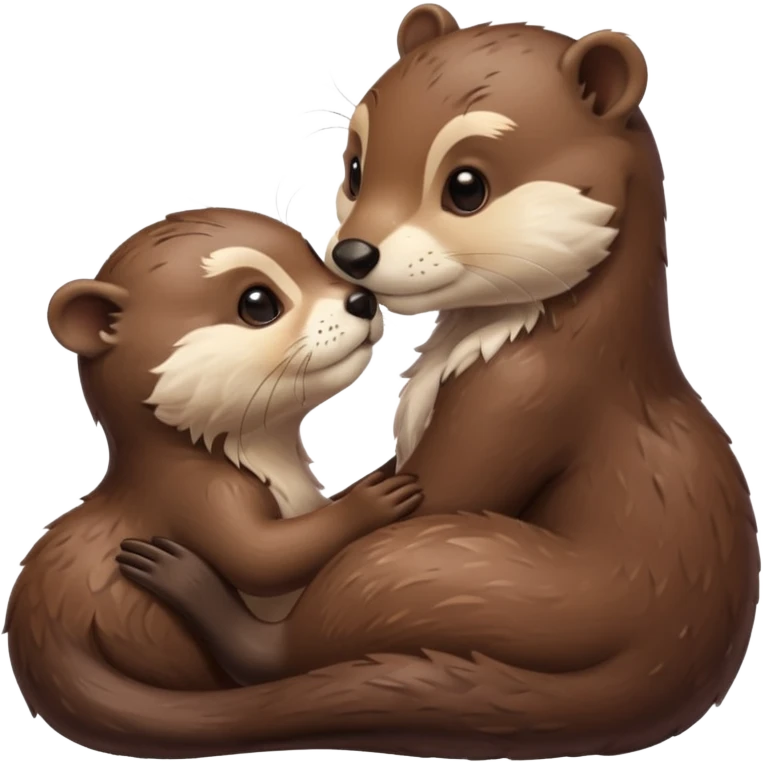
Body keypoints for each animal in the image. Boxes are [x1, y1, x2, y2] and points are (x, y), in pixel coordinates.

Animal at [4, 207, 424, 755]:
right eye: (258, 302)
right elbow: (261, 558)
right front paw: (374, 501)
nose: (362, 297)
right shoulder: (201, 494)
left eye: (319, 261)